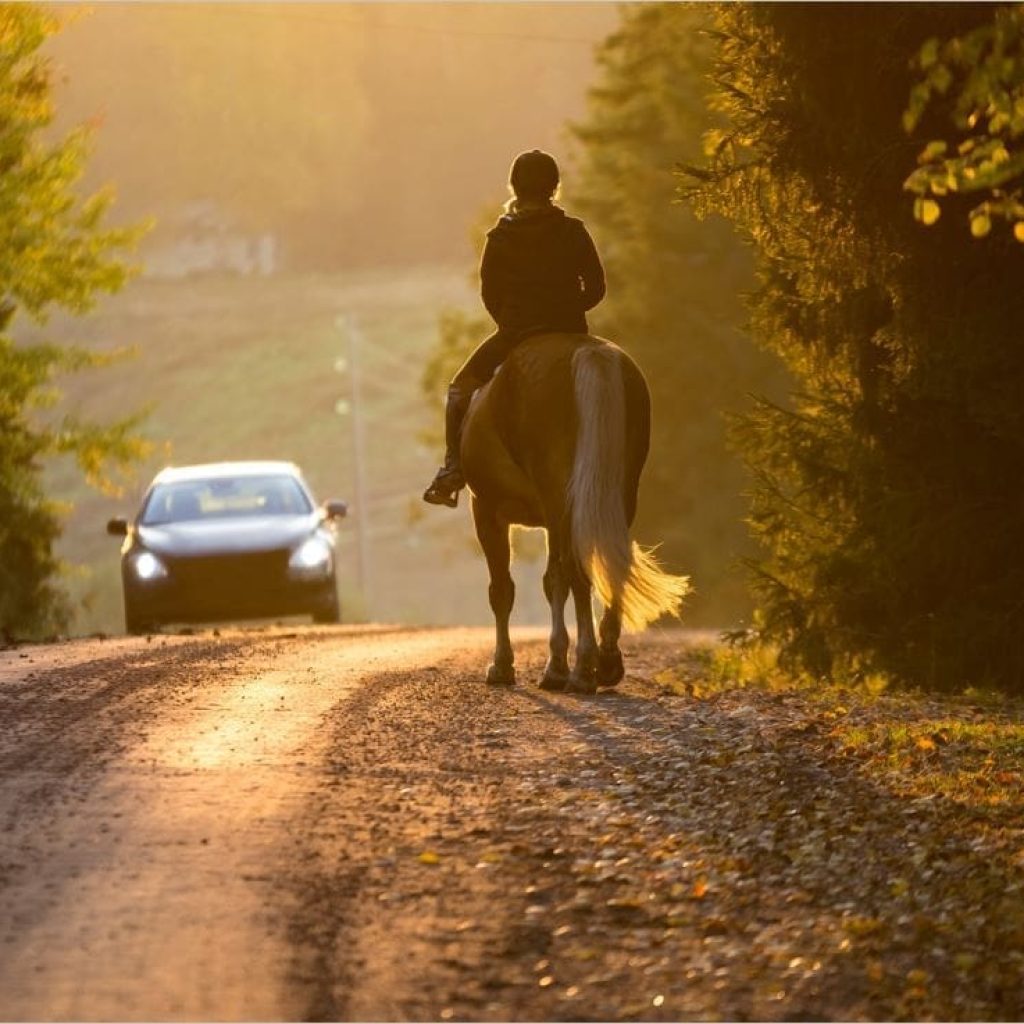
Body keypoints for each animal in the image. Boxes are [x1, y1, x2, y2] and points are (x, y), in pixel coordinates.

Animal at [460, 332, 690, 694]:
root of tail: (588, 350)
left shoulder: (487, 510)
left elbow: (503, 590)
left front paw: (503, 666)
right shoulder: (554, 520)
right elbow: (552, 580)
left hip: (556, 498)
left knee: (573, 573)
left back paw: (577, 669)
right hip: (615, 494)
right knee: (607, 565)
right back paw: (606, 662)